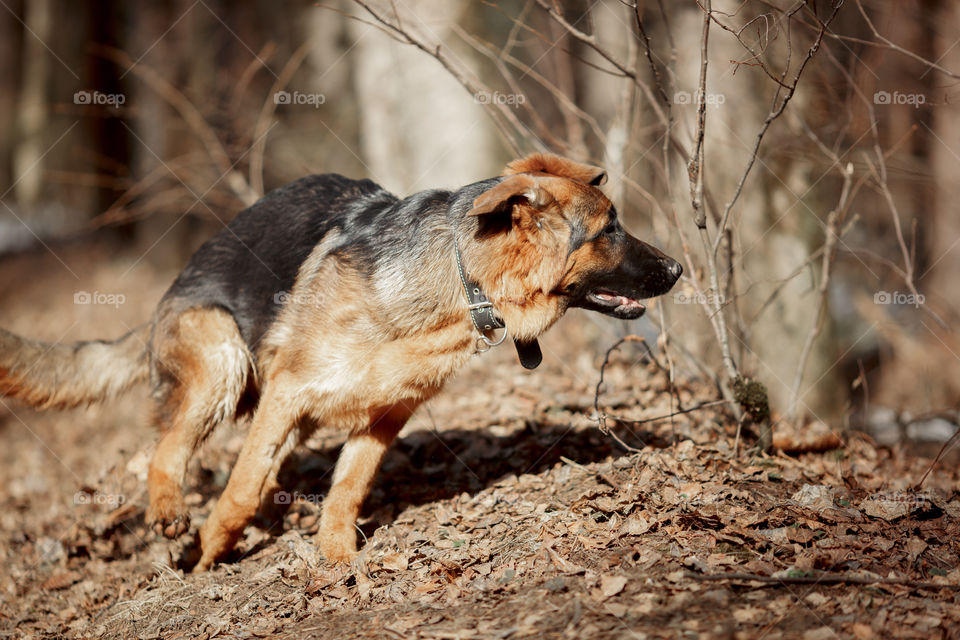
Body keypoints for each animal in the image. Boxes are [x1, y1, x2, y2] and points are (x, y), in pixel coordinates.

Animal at [0, 154, 684, 568]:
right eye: (610, 229)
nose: (679, 269)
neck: (464, 279)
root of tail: (166, 297)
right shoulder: (289, 390)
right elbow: (239, 492)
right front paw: (209, 557)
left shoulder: (384, 418)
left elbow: (347, 491)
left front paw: (339, 564)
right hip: (225, 359)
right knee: (166, 450)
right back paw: (171, 516)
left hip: (282, 411)